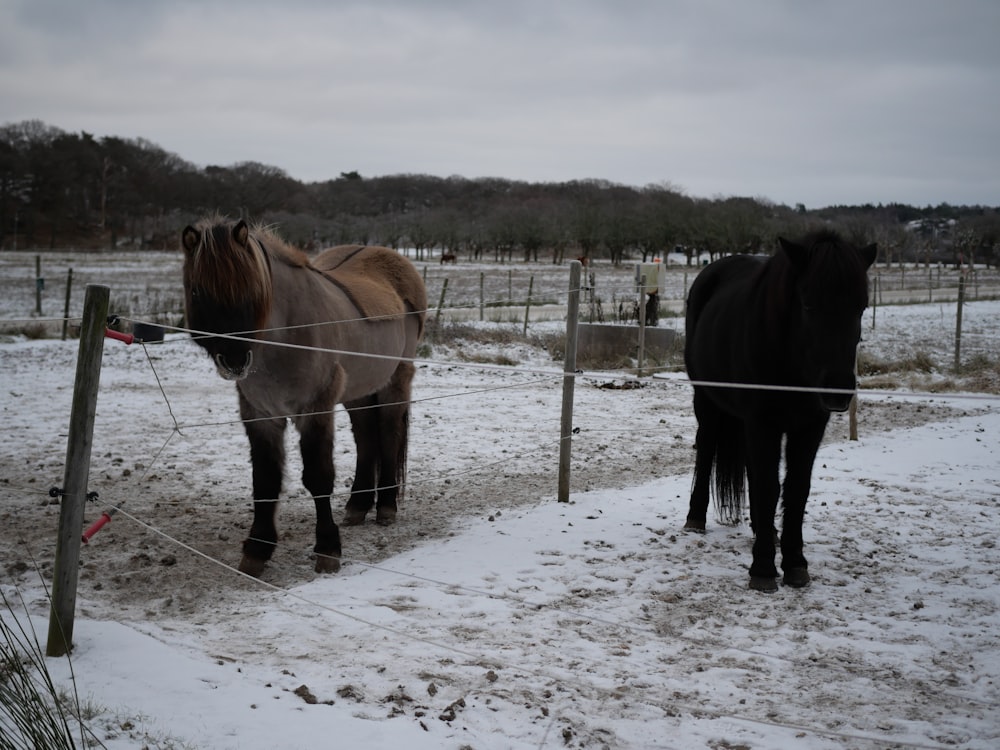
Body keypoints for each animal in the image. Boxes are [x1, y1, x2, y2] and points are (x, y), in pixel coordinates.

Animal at [184, 217, 426, 576]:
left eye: (250, 289)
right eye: (197, 291)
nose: (235, 360)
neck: (285, 338)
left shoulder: (315, 409)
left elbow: (318, 477)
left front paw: (328, 549)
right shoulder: (261, 415)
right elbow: (265, 480)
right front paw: (257, 550)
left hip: (394, 380)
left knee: (389, 434)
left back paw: (385, 507)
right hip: (359, 390)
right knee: (367, 437)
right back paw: (357, 506)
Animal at [684, 229, 872, 592]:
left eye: (861, 307)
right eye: (809, 304)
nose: (838, 389)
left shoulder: (810, 425)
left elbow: (796, 489)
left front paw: (795, 563)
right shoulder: (763, 422)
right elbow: (769, 487)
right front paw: (763, 569)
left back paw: (764, 530)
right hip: (707, 402)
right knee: (707, 448)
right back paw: (695, 518)